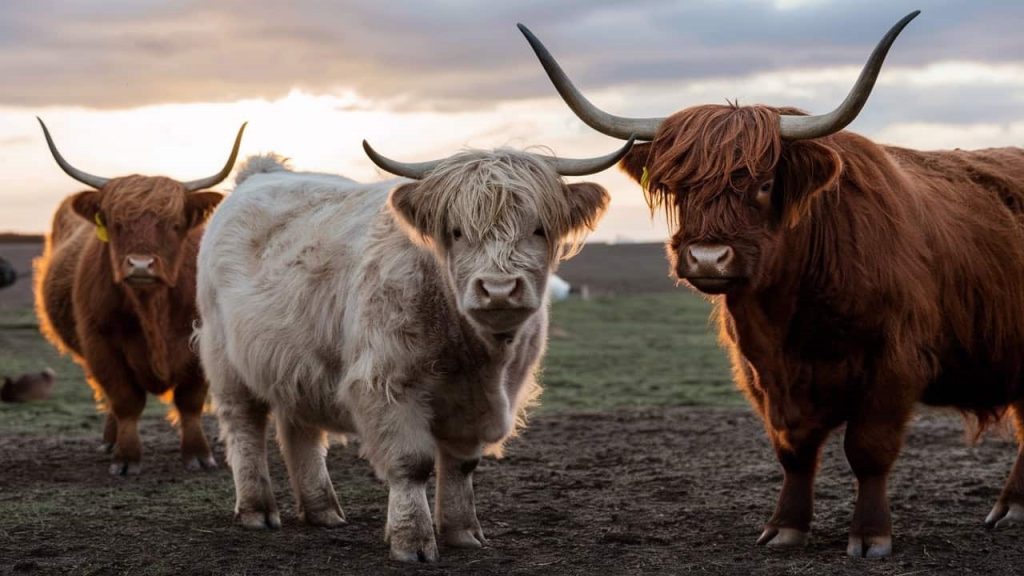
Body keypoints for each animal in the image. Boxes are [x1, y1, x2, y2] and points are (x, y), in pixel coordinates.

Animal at [33, 118, 246, 475]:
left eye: (174, 224)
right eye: (116, 223)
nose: (141, 264)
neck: (153, 309)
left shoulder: (201, 344)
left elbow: (189, 401)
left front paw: (198, 455)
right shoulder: (101, 344)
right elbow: (125, 400)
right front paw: (126, 457)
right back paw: (110, 440)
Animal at [194, 137, 630, 561]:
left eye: (538, 229)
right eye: (457, 231)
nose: (498, 289)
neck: (476, 357)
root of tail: (261, 171)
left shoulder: (479, 402)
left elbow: (462, 464)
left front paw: (462, 531)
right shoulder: (388, 385)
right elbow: (412, 463)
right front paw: (412, 541)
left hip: (295, 363)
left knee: (299, 429)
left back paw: (323, 510)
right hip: (225, 359)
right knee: (244, 426)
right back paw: (257, 510)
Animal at [521, 11, 1024, 558]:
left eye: (763, 185)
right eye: (681, 188)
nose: (708, 257)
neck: (793, 312)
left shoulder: (895, 363)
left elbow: (868, 449)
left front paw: (871, 536)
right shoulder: (764, 371)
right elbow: (794, 450)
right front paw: (786, 527)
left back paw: (1011, 507)